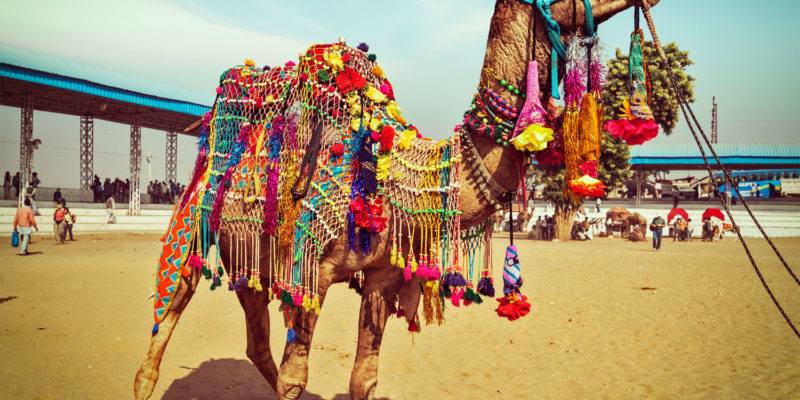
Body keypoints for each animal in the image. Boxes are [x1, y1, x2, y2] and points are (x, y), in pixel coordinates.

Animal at [134, 1, 658, 399]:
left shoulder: (383, 274)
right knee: (168, 316)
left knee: (255, 339)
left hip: (252, 256)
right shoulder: (313, 269)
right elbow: (294, 378)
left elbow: (363, 378)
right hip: (196, 221)